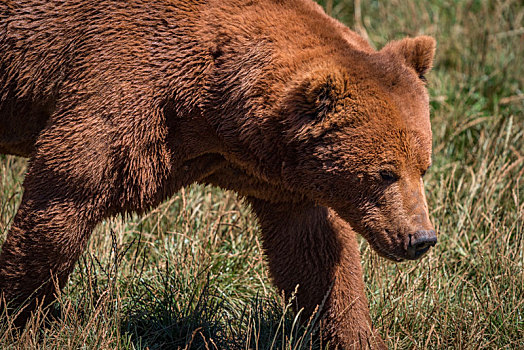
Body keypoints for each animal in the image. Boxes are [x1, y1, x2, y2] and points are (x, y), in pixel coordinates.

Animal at [0, 0, 436, 348]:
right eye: (384, 173)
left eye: (423, 167)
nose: (422, 238)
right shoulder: (120, 84)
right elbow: (65, 194)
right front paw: (21, 319)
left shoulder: (268, 172)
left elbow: (317, 256)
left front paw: (355, 334)